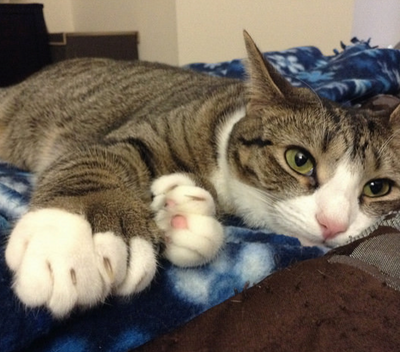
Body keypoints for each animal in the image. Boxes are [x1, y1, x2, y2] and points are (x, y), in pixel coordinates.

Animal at [2, 31, 400, 318]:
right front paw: (73, 239)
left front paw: (178, 216)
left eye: (378, 187)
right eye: (299, 159)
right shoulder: (144, 133)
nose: (334, 225)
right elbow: (96, 158)